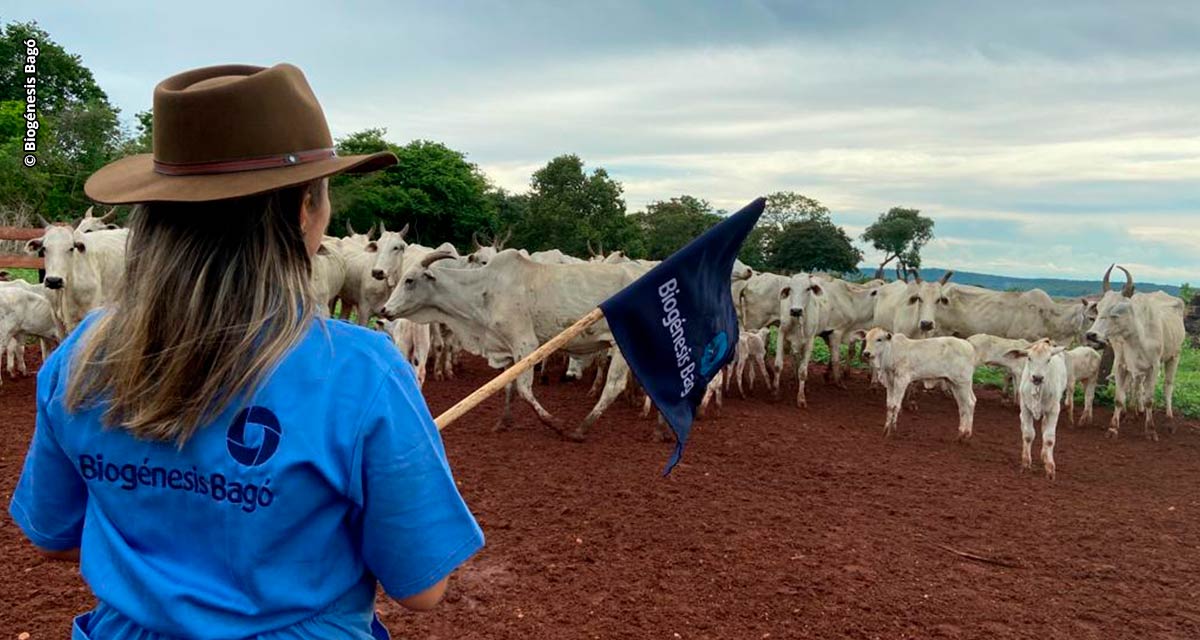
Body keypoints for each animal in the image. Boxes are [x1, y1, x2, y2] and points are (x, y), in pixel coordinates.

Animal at [1003, 338, 1070, 480]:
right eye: (1029, 358)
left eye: (1048, 359)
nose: (1037, 377)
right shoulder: (1025, 408)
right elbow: (1028, 435)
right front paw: (1025, 464)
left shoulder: (1054, 410)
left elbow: (1049, 439)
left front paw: (1050, 469)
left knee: (1044, 427)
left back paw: (1044, 456)